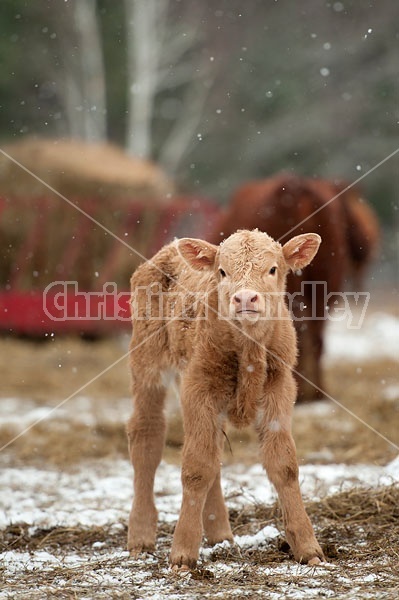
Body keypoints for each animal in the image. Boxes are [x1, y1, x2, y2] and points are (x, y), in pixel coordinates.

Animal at [128, 230, 324, 572]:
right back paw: (140, 536)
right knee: (147, 436)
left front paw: (307, 546)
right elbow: (196, 468)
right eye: (222, 272)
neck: (248, 352)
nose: (245, 298)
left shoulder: (280, 390)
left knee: (212, 450)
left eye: (273, 269)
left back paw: (220, 533)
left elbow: (283, 464)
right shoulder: (198, 389)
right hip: (147, 364)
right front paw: (182, 554)